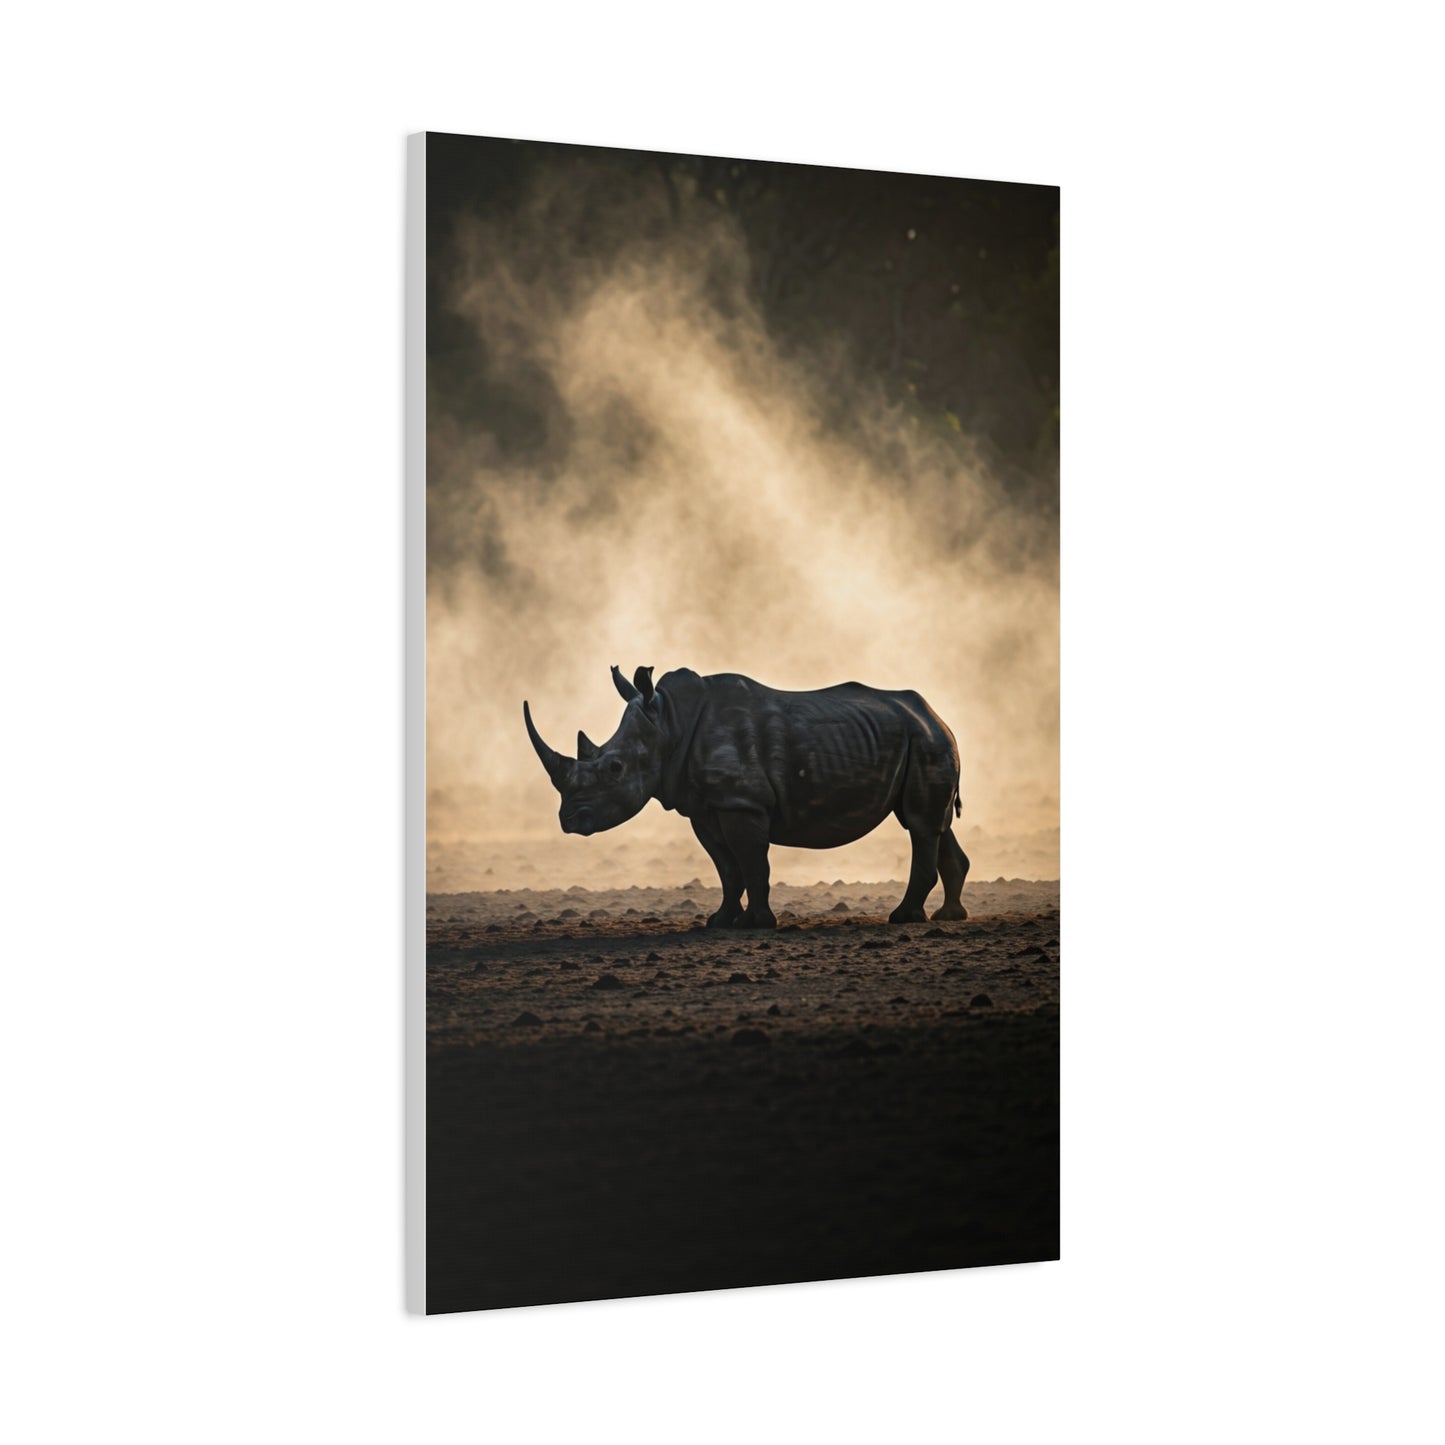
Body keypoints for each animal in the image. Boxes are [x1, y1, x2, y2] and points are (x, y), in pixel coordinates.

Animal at [523, 665, 970, 928]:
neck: (669, 723)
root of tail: (938, 716)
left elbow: (752, 861)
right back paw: (949, 916)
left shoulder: (741, 801)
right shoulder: (705, 806)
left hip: (927, 741)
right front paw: (720, 921)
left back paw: (904, 919)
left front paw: (756, 924)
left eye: (615, 768)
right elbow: (726, 866)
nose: (568, 821)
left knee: (919, 824)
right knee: (932, 824)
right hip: (922, 739)